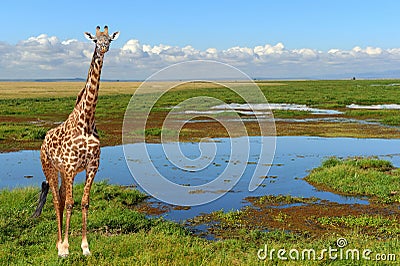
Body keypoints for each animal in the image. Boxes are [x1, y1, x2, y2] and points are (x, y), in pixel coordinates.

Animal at [33, 26, 119, 256]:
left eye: (109, 39)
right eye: (95, 41)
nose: (103, 48)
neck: (87, 121)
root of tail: (44, 141)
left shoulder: (92, 167)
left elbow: (84, 203)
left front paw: (84, 247)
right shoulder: (71, 168)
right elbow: (71, 203)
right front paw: (65, 248)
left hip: (62, 173)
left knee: (62, 199)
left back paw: (58, 242)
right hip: (50, 168)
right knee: (57, 200)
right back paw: (59, 244)